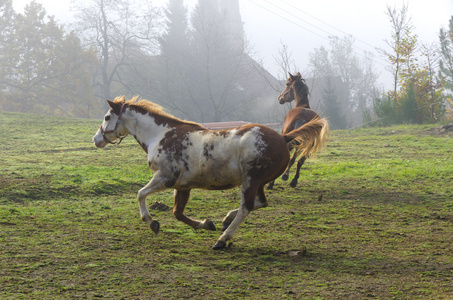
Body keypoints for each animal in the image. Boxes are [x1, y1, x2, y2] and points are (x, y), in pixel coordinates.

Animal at [92, 95, 328, 248]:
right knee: (260, 203)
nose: (96, 140)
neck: (160, 135)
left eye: (106, 117)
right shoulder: (182, 185)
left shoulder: (165, 177)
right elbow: (177, 213)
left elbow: (140, 194)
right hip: (259, 182)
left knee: (246, 207)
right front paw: (207, 224)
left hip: (251, 181)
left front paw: (152, 223)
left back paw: (222, 240)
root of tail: (283, 137)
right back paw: (225, 221)